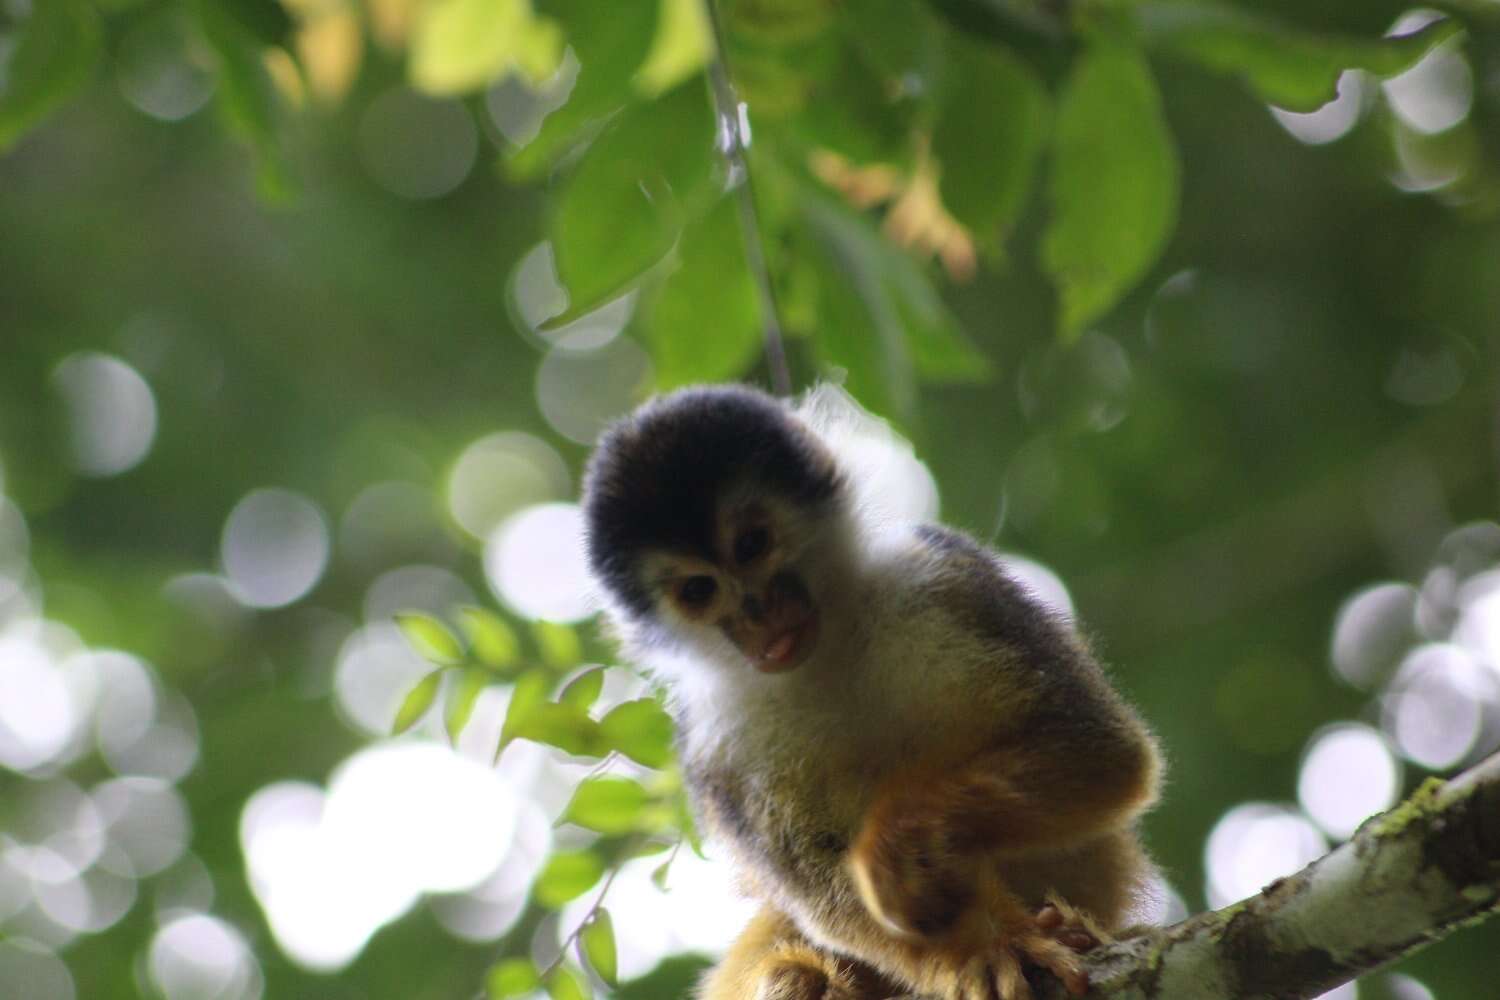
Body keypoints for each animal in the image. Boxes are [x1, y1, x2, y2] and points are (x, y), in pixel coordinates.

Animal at [582, 386, 1158, 1000]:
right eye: (698, 590)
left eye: (752, 544)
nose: (757, 613)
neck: (826, 653)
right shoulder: (712, 749)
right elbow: (826, 901)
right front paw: (984, 947)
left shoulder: (945, 572)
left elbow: (1103, 752)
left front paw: (904, 843)